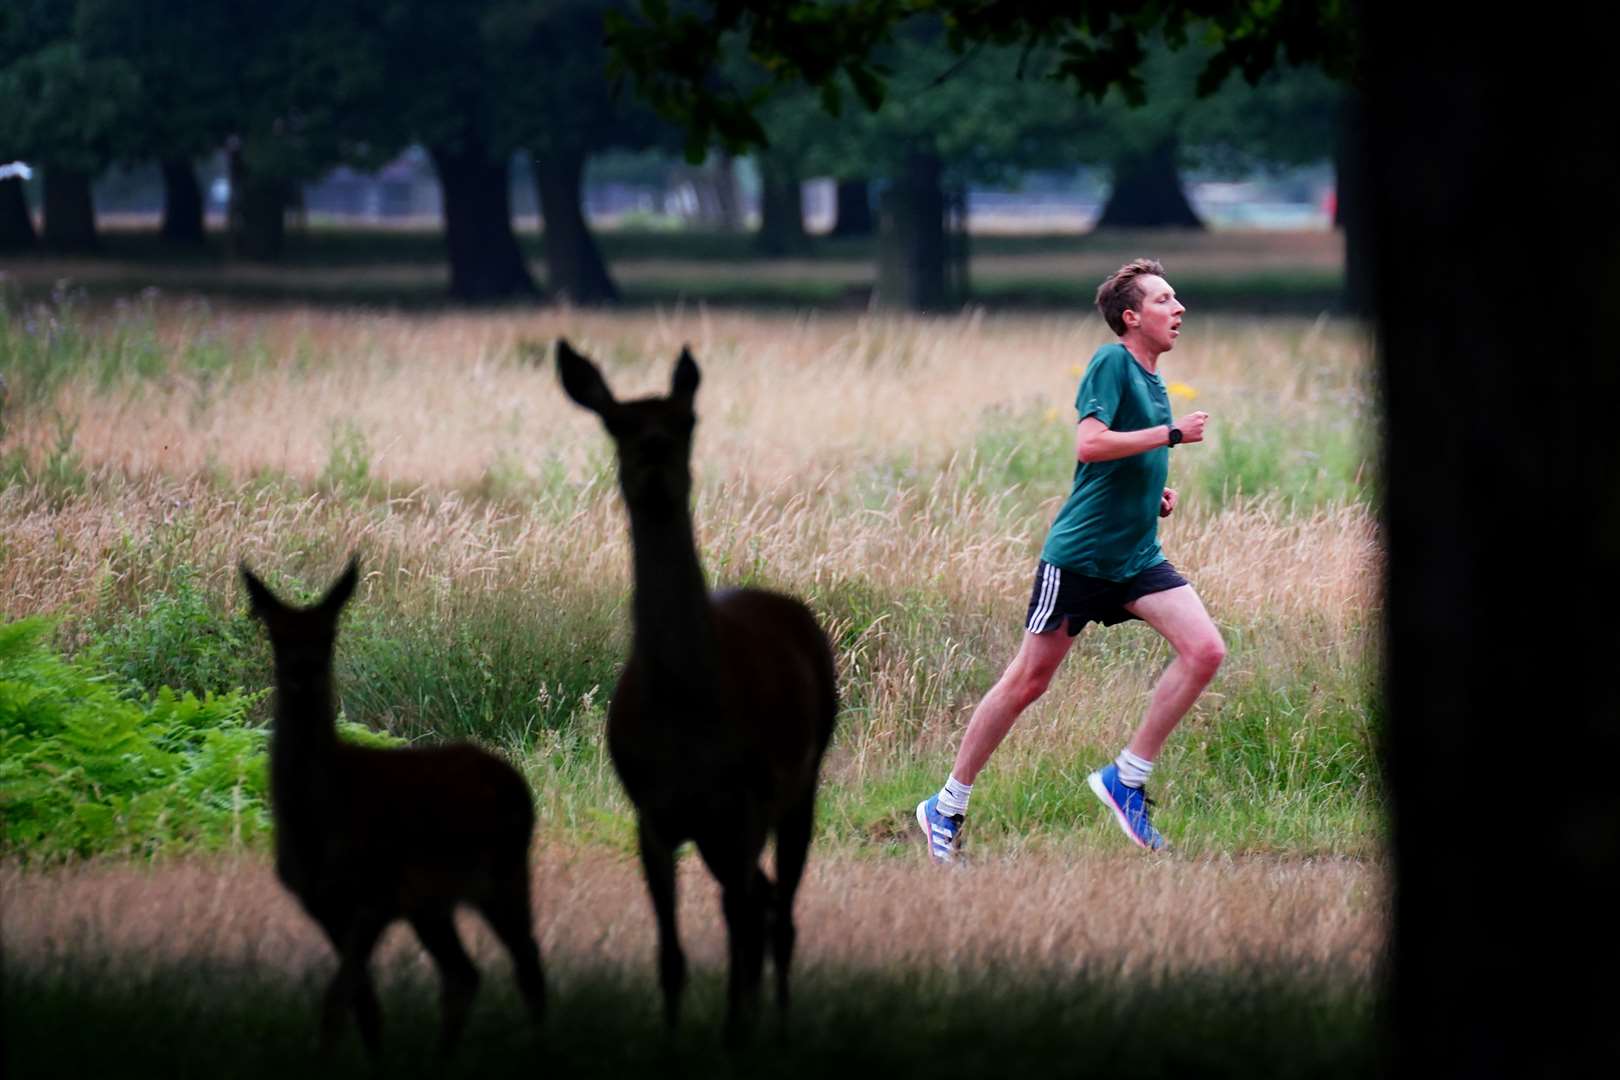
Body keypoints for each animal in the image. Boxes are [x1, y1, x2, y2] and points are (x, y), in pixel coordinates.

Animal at [238, 557, 544, 1055]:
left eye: (330, 632)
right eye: (274, 632)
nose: (303, 671)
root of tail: (516, 782)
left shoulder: (375, 896)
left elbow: (338, 1000)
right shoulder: (324, 906)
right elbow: (363, 1006)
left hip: (502, 875)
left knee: (527, 961)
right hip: (433, 903)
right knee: (465, 974)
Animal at [557, 338, 835, 1036]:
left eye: (687, 419)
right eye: (616, 423)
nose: (654, 453)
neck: (686, 710)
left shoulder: (743, 803)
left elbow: (737, 933)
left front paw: (737, 1032)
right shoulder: (652, 815)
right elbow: (672, 955)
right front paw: (677, 1037)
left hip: (801, 782)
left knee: (778, 912)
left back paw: (779, 1024)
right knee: (764, 903)